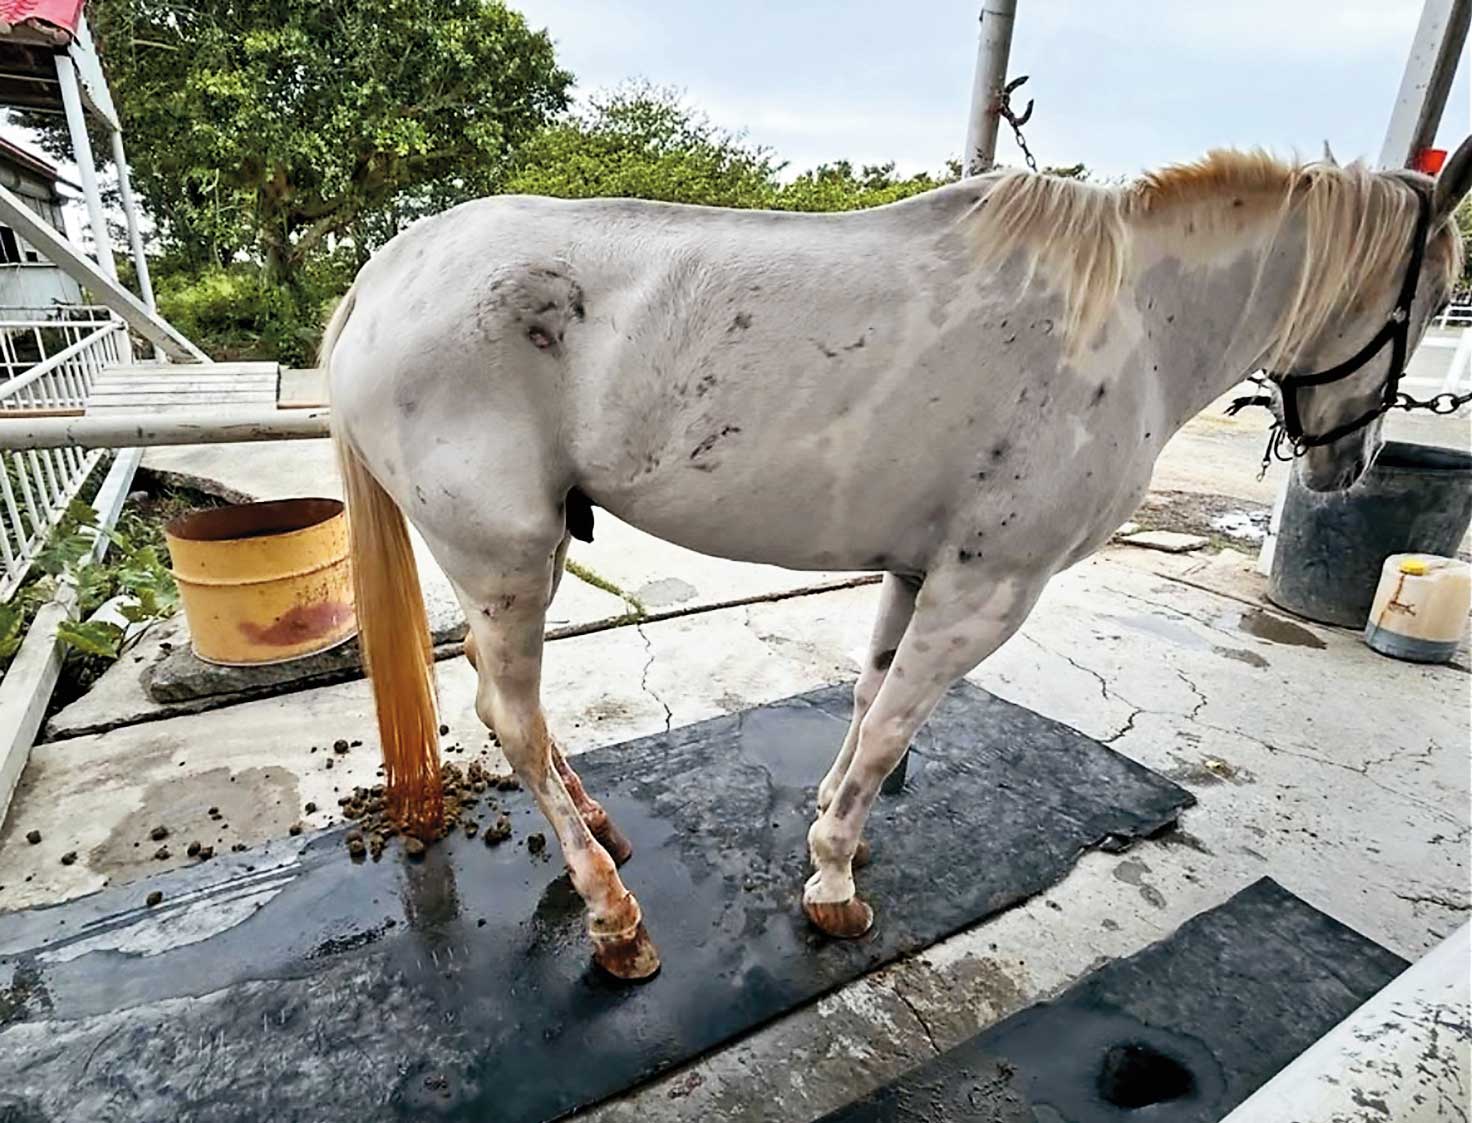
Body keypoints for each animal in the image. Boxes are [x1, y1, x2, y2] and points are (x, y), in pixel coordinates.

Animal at [325, 138, 1472, 980]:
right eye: (1424, 301)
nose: (1348, 464)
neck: (1130, 323)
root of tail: (384, 274)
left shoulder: (917, 571)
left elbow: (868, 699)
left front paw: (836, 826)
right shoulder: (987, 588)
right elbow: (891, 730)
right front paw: (833, 884)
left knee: (515, 709)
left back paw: (601, 830)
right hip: (505, 558)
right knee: (509, 713)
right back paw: (614, 915)